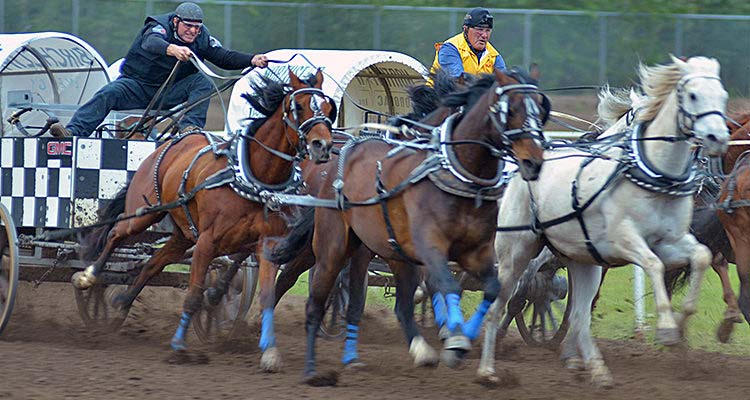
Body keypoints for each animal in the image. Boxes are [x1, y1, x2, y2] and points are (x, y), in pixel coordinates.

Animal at [72, 69, 336, 366]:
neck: (252, 178)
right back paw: (89, 277)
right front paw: (178, 345)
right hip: (143, 214)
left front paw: (269, 351)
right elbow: (194, 294)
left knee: (152, 264)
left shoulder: (267, 244)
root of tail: (171, 142)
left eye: (328, 109)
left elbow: (268, 295)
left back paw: (122, 304)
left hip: (182, 235)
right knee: (115, 235)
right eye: (298, 106)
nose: (322, 146)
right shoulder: (207, 243)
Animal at [268, 68, 548, 384]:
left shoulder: (476, 251)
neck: (456, 175)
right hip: (334, 247)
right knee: (311, 298)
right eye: (510, 109)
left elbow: (490, 288)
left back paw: (419, 350)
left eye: (540, 109)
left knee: (398, 304)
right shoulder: (429, 247)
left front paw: (459, 339)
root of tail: (338, 158)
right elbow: (445, 284)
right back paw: (308, 367)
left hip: (390, 252)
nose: (533, 161)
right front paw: (454, 338)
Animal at [478, 56, 732, 388]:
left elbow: (701, 256)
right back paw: (487, 367)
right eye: (692, 95)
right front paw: (666, 327)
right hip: (515, 253)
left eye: (723, 96)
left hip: (581, 260)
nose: (718, 138)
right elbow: (653, 265)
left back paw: (595, 369)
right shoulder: (624, 240)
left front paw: (682, 323)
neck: (649, 175)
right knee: (501, 303)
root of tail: (524, 168)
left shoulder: (670, 241)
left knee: (577, 315)